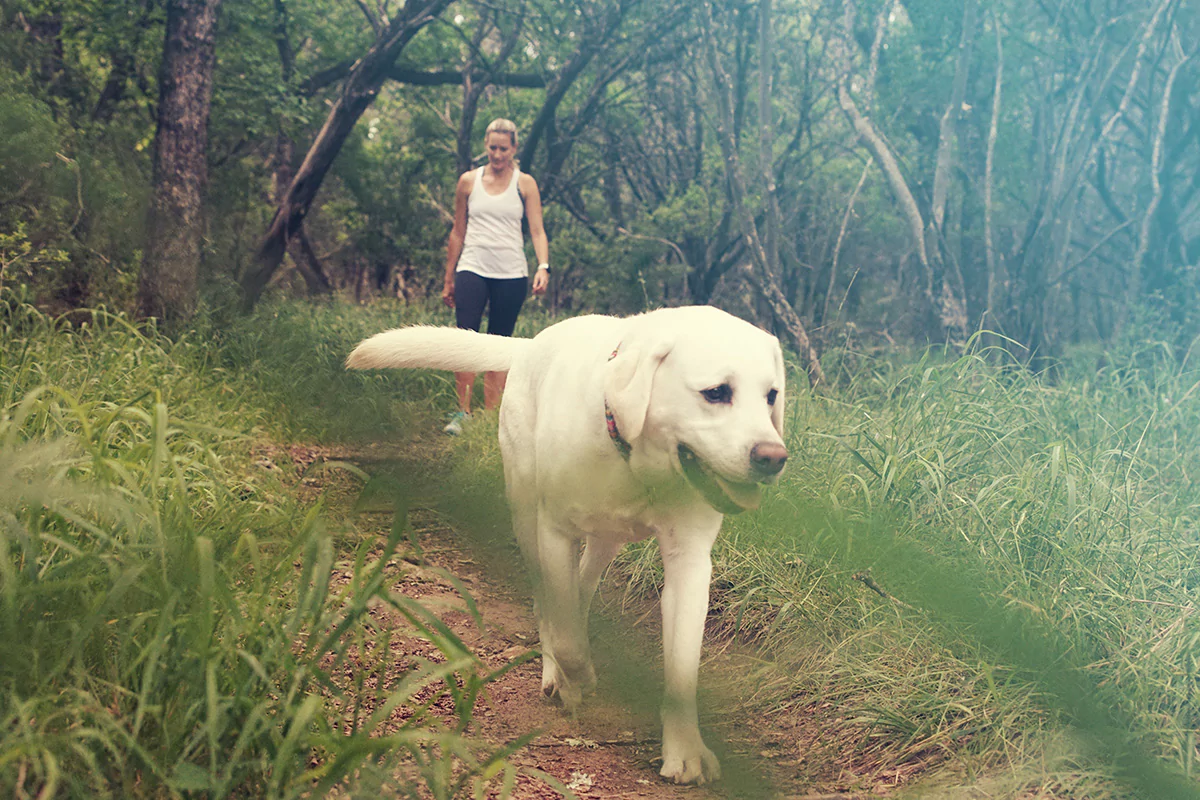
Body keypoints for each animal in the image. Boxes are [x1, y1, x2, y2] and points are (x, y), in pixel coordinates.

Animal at [348, 307, 787, 782]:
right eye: (716, 392)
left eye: (771, 396)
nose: (773, 458)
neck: (633, 457)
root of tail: (531, 344)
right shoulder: (555, 532)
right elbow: (568, 643)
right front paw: (573, 679)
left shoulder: (689, 562)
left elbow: (683, 668)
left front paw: (685, 750)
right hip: (527, 517)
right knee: (549, 605)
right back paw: (555, 669)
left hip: (605, 540)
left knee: (581, 589)